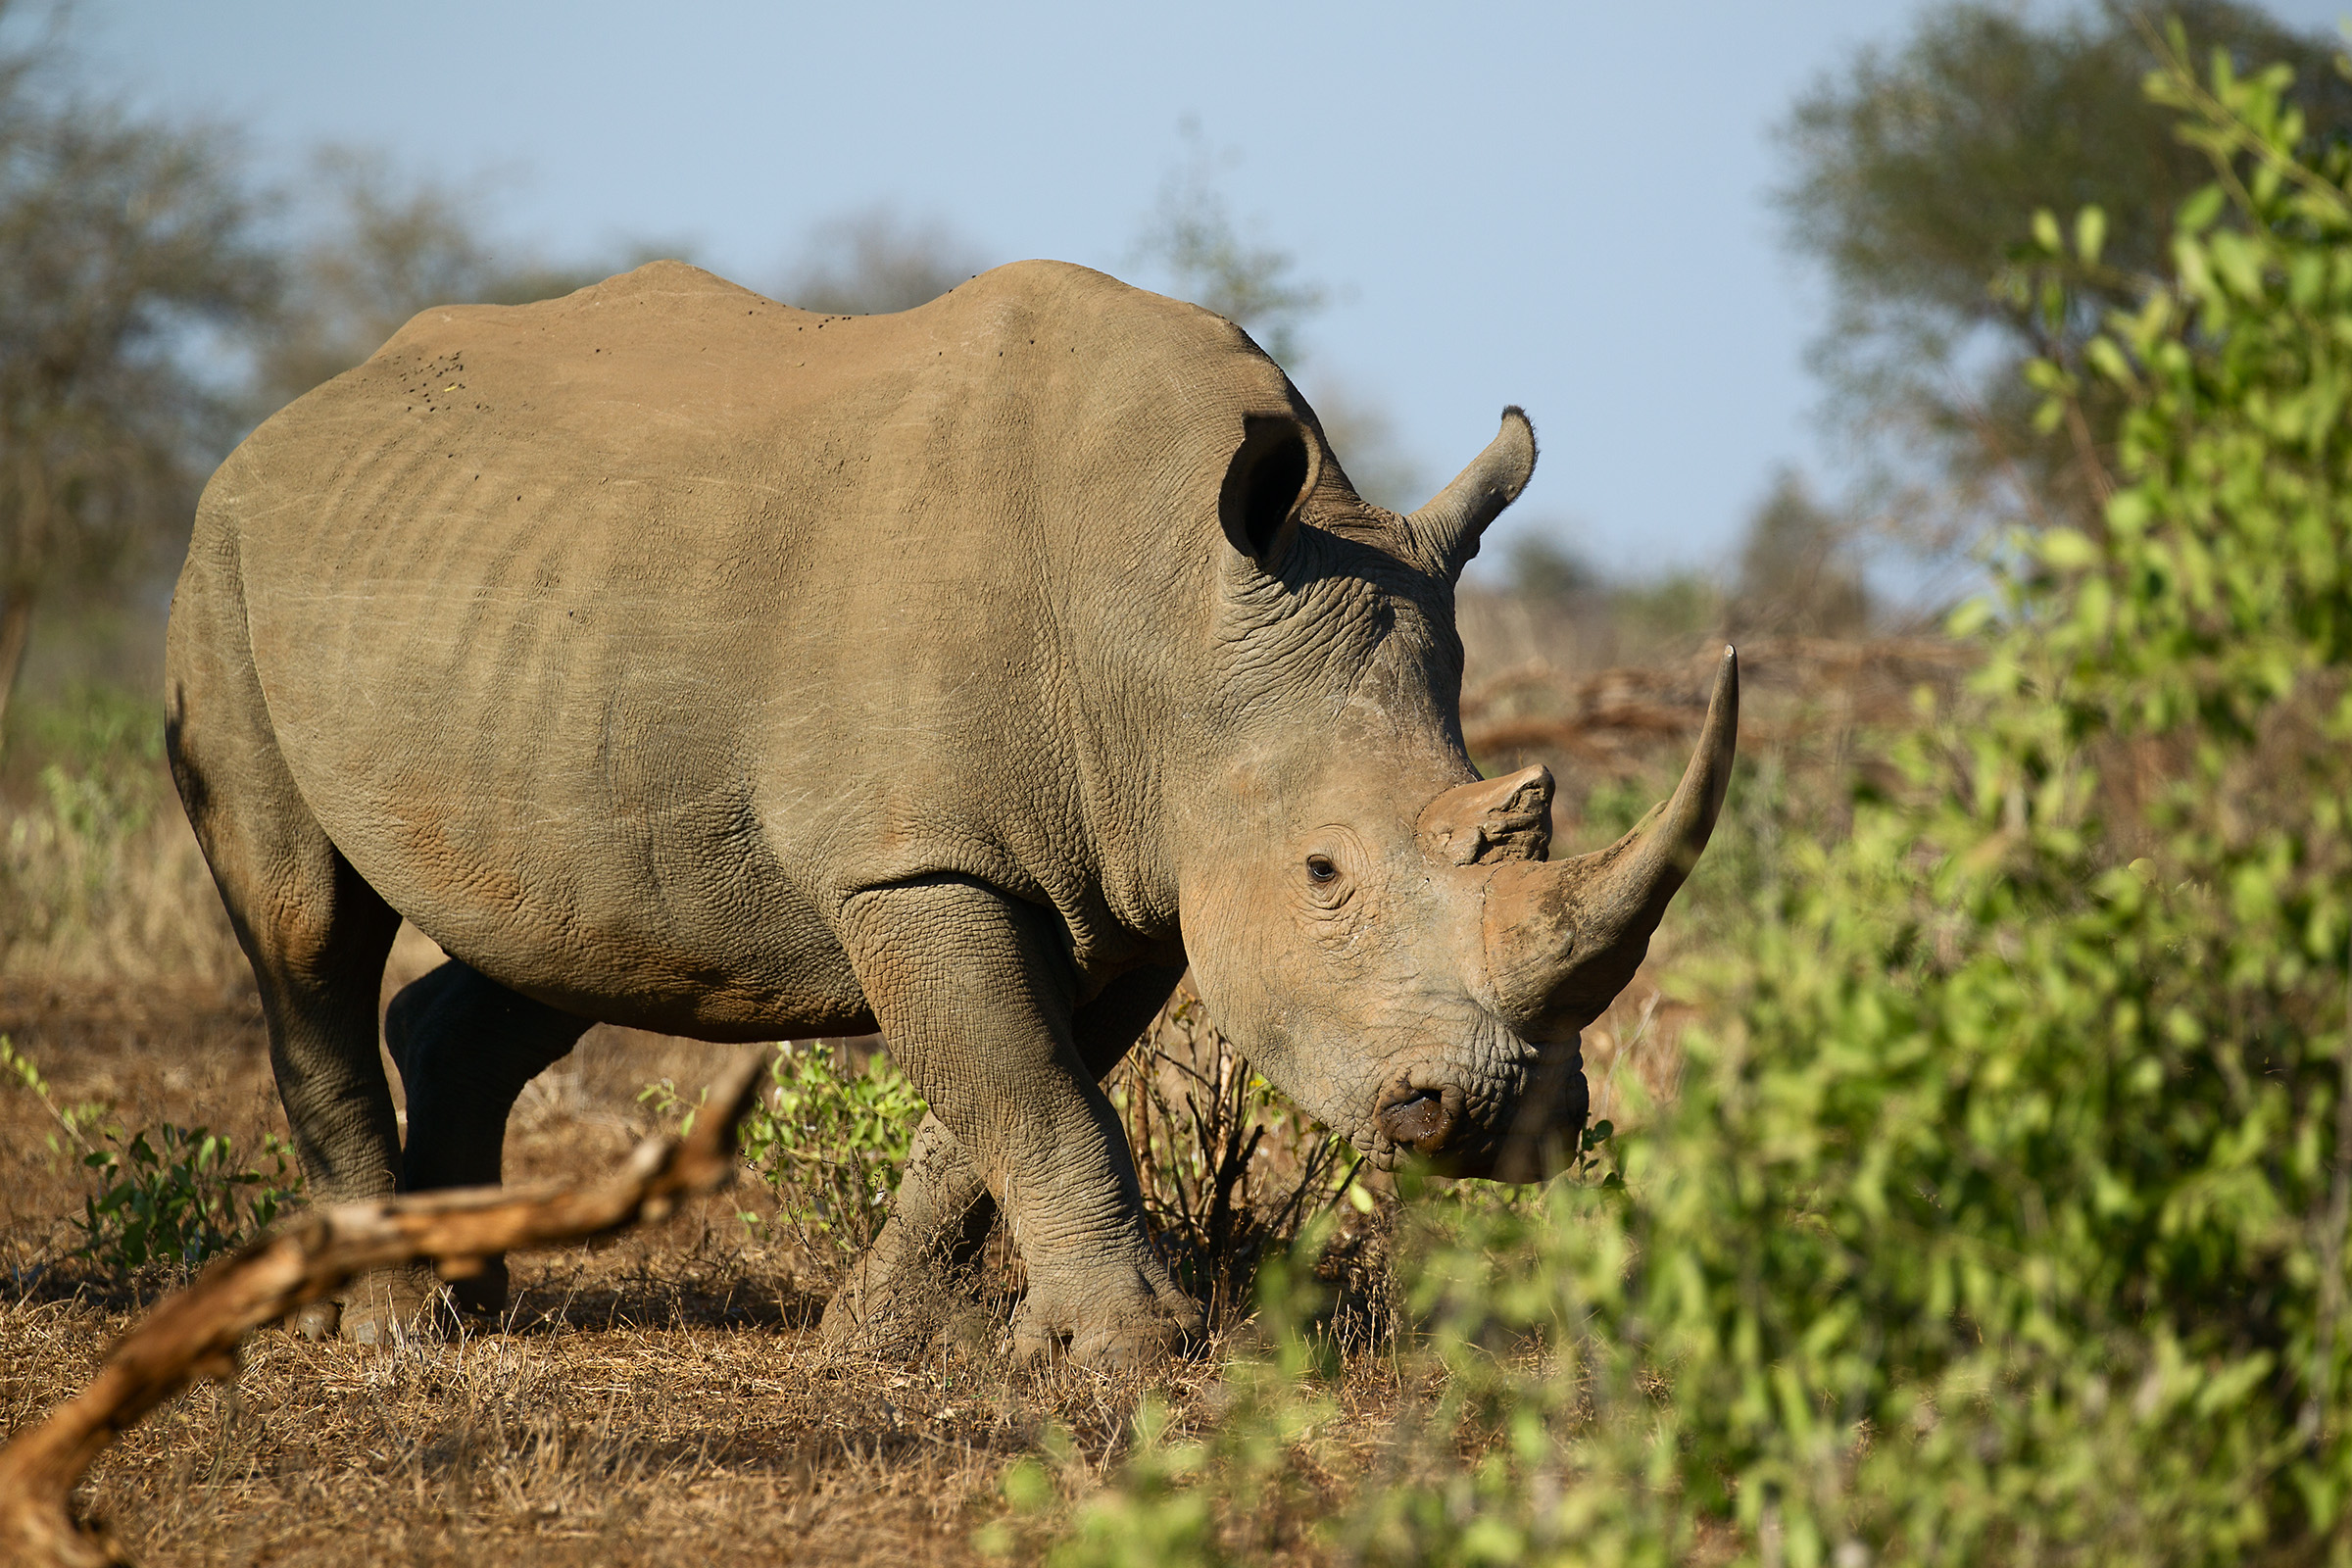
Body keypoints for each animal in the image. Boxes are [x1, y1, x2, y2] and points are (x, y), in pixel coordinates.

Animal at [166, 259, 1735, 1364]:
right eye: (1323, 869)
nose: (1502, 1122)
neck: (1169, 613)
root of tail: (289, 421)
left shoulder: (1124, 878)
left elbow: (1014, 1096)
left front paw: (893, 1338)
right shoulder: (918, 864)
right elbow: (1031, 1090)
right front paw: (1134, 1351)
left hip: (521, 606)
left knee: (563, 932)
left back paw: (475, 1290)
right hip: (227, 553)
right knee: (302, 928)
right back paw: (392, 1326)